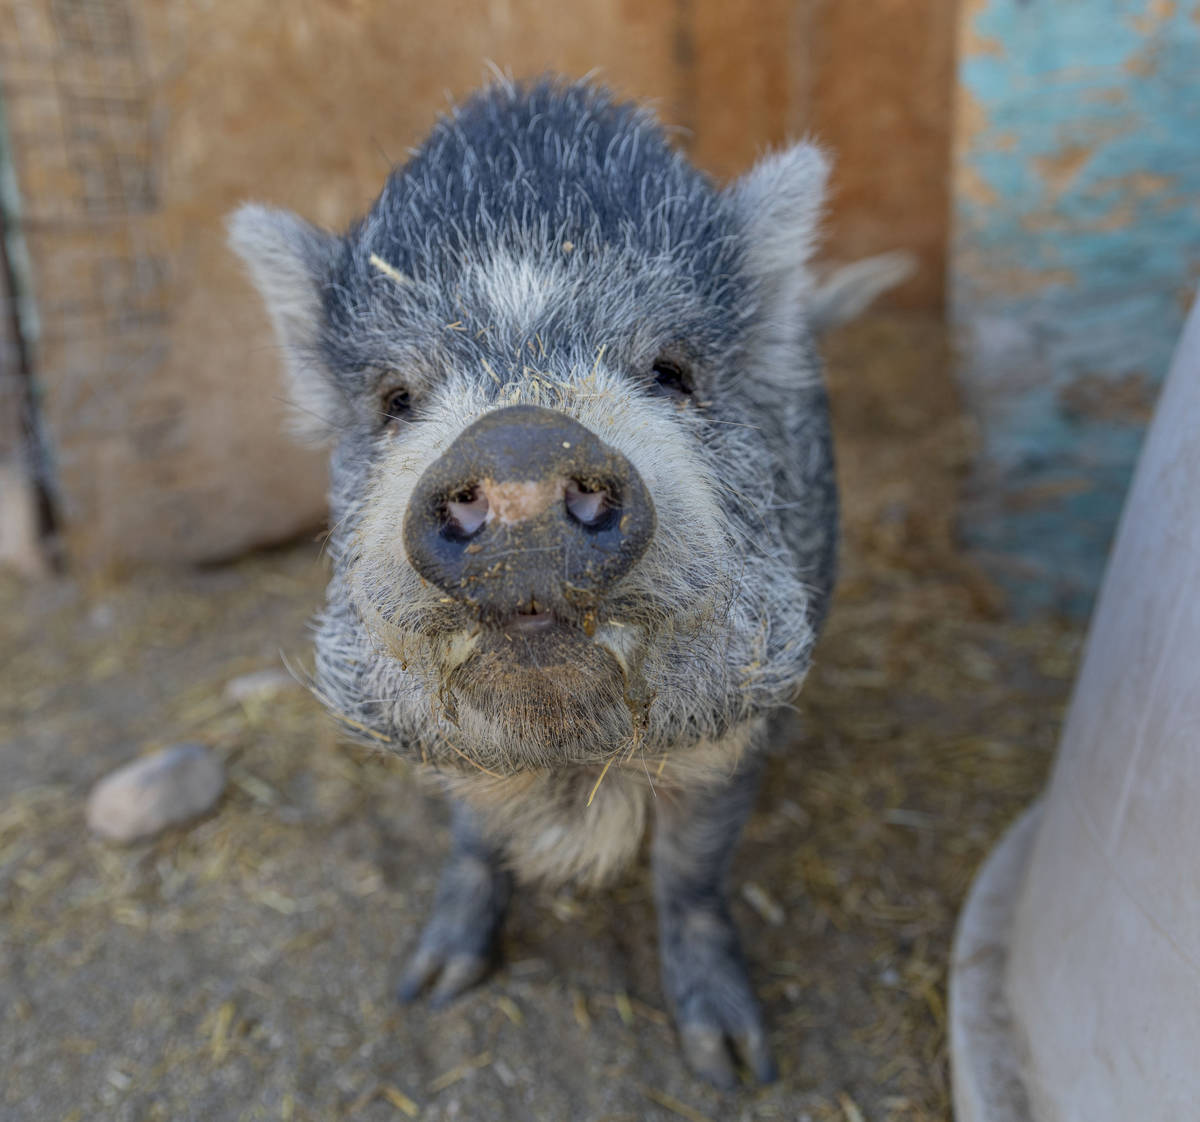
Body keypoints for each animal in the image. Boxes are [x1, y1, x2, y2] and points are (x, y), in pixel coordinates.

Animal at [231, 76, 844, 1089]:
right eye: (395, 399)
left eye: (671, 371)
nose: (521, 440)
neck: (566, 761)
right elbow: (475, 840)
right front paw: (428, 987)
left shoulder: (738, 725)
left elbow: (692, 873)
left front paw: (732, 1064)